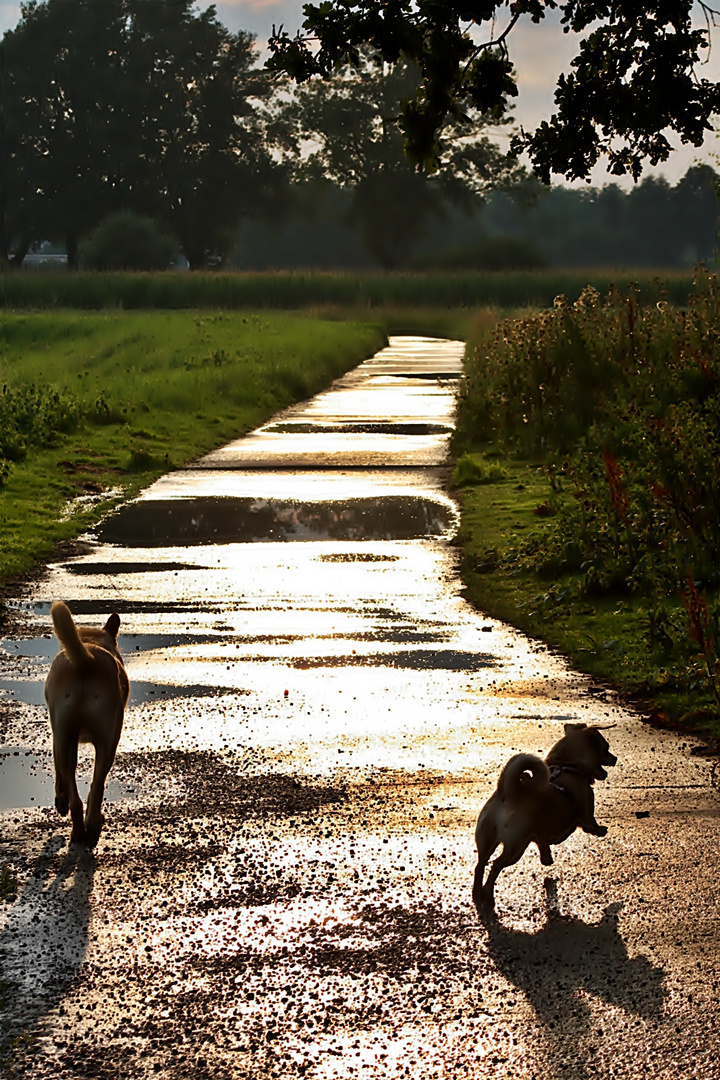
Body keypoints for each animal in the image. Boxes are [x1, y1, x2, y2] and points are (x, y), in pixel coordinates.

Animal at [44, 604, 128, 846]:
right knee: (93, 786)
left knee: (86, 787)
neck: (91, 641)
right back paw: (87, 828)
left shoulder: (57, 738)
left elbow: (58, 771)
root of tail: (85, 660)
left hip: (71, 738)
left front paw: (60, 799)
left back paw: (85, 828)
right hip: (99, 740)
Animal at [472, 725, 621, 911]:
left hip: (487, 841)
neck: (566, 766)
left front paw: (546, 858)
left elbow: (542, 842)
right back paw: (489, 896)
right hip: (516, 846)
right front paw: (601, 830)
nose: (615, 758)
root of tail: (507, 793)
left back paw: (478, 894)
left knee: (480, 866)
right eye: (606, 748)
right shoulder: (587, 815)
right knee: (495, 866)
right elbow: (592, 824)